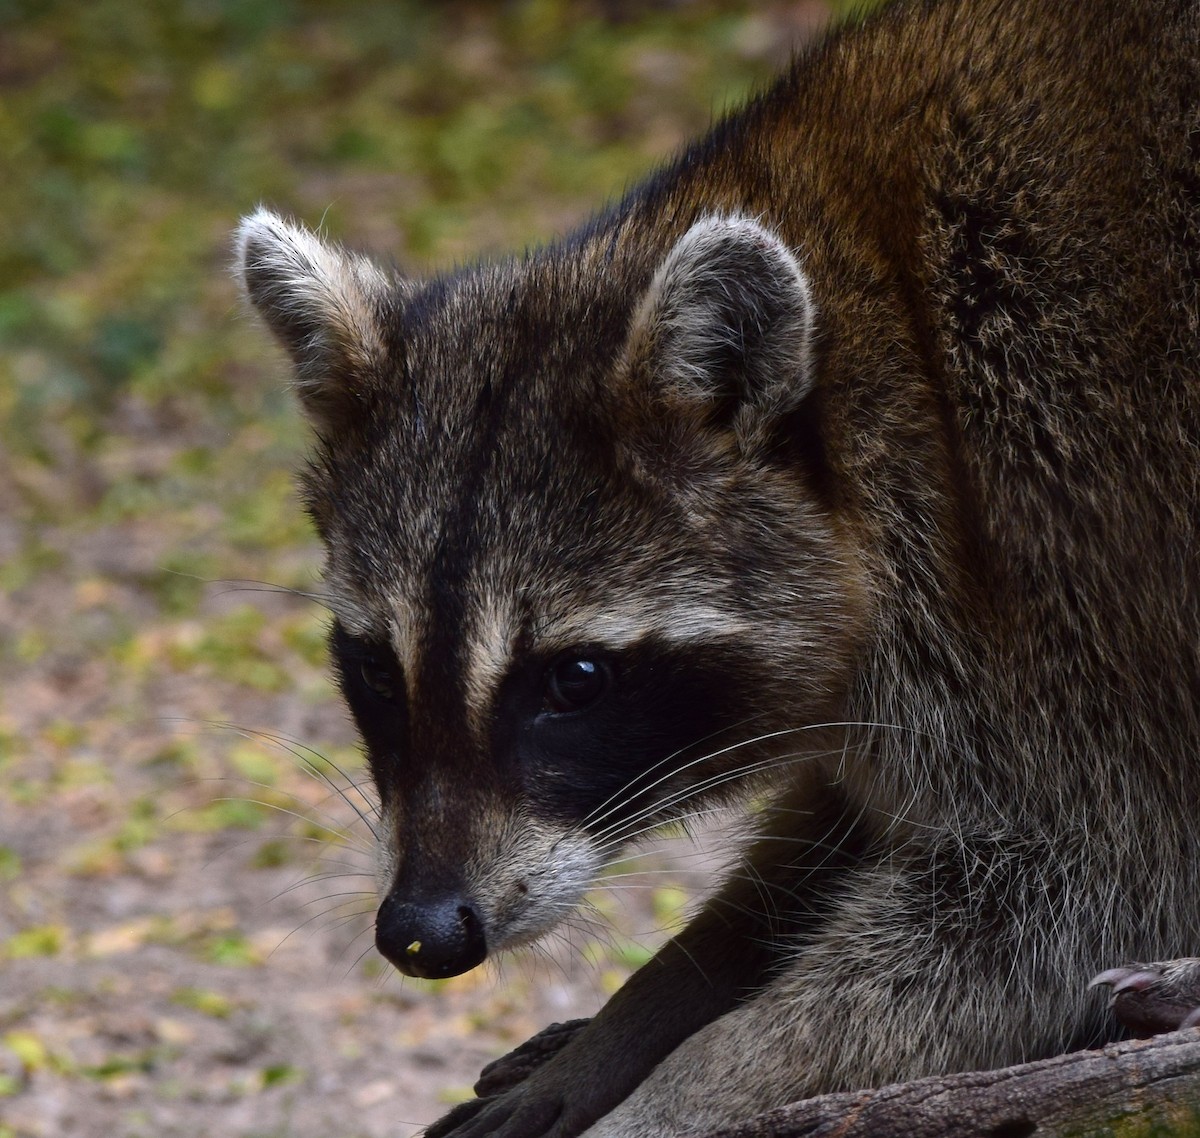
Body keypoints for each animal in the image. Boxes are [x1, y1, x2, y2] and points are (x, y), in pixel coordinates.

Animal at [235, 0, 1200, 1133]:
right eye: (378, 670)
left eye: (576, 680)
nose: (422, 931)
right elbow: (824, 848)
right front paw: (643, 1013)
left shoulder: (1068, 581)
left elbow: (1083, 897)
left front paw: (693, 1082)